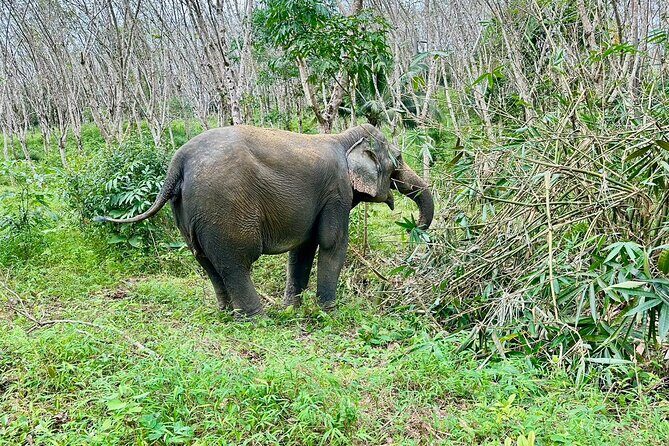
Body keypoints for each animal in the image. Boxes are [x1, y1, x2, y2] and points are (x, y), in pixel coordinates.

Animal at [96, 124, 434, 318]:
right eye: (399, 159)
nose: (415, 227)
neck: (343, 137)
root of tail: (177, 162)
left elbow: (303, 249)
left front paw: (292, 310)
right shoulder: (336, 192)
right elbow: (332, 243)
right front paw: (330, 313)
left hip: (188, 211)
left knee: (205, 260)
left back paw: (226, 314)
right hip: (224, 208)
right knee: (235, 261)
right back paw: (256, 318)